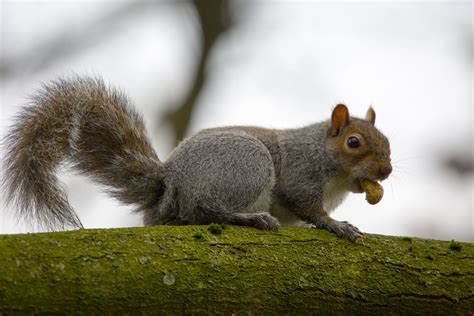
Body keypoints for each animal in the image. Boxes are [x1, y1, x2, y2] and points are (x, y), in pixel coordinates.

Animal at [1, 76, 390, 242]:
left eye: (388, 142)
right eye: (353, 143)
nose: (385, 171)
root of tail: (169, 181)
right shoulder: (300, 173)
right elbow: (307, 205)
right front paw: (336, 225)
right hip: (249, 165)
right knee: (203, 209)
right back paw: (250, 218)